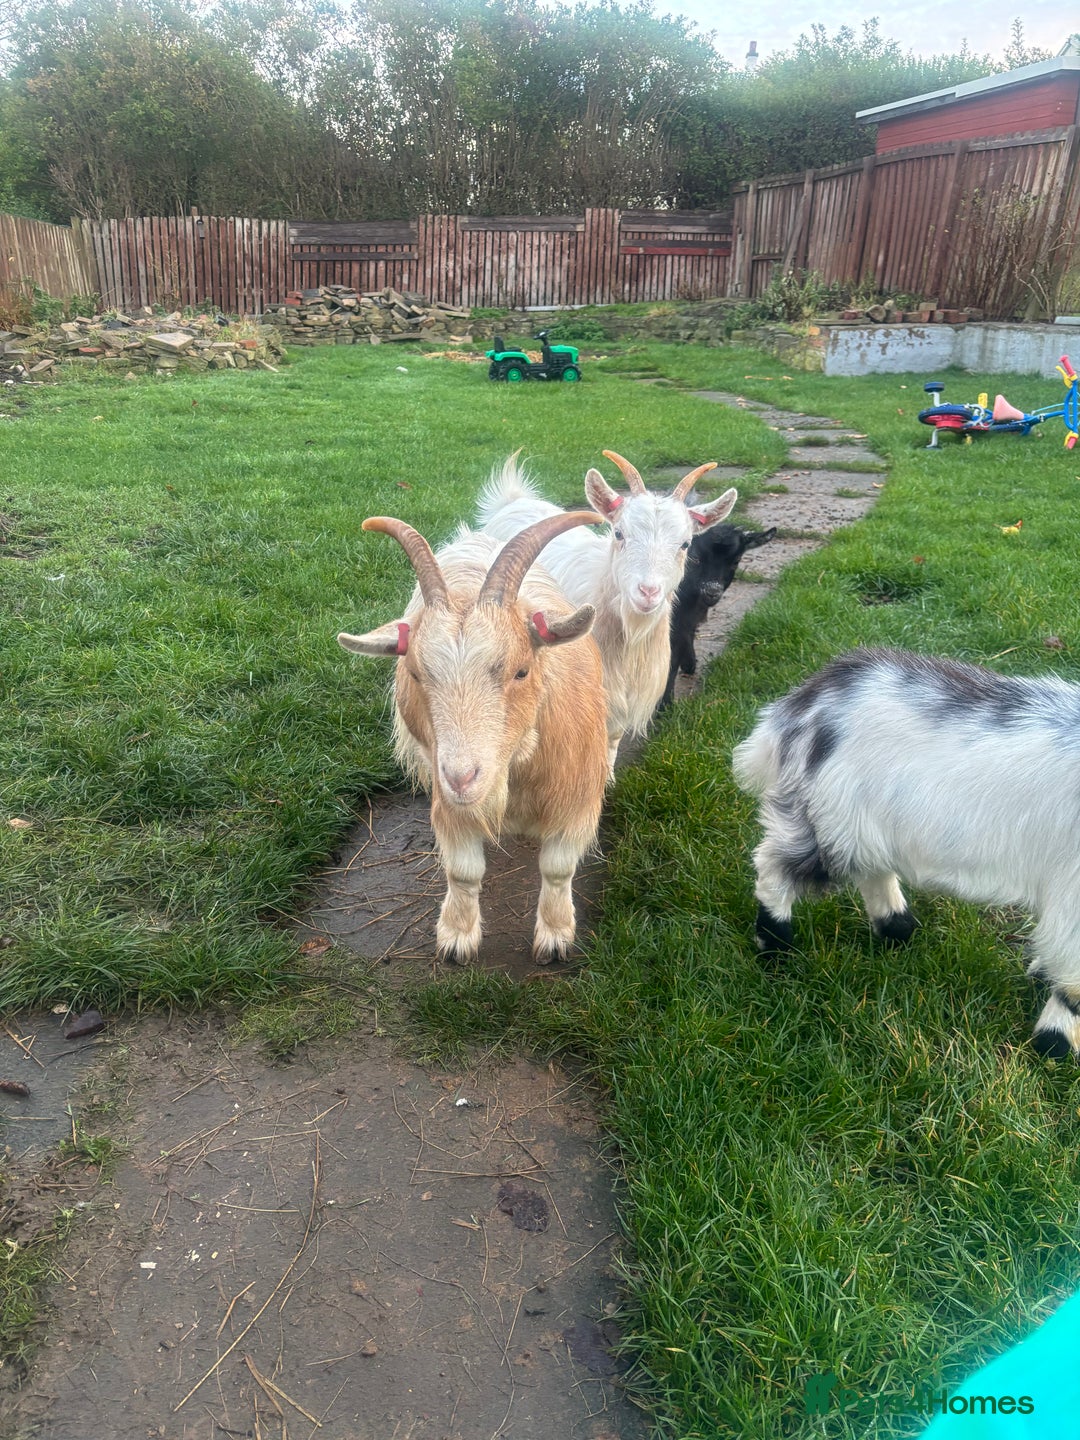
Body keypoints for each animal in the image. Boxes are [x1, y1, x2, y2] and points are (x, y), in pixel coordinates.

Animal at [338, 511, 609, 964]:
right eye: (415, 674)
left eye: (521, 670)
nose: (462, 778)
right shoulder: (448, 799)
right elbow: (463, 872)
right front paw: (457, 937)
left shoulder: (575, 797)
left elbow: (558, 868)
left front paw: (555, 936)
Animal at [732, 647, 1080, 1058]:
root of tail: (800, 705)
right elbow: (1073, 981)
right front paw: (1053, 1044)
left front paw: (1040, 977)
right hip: (829, 821)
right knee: (775, 868)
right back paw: (775, 947)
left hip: (862, 824)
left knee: (872, 872)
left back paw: (897, 930)